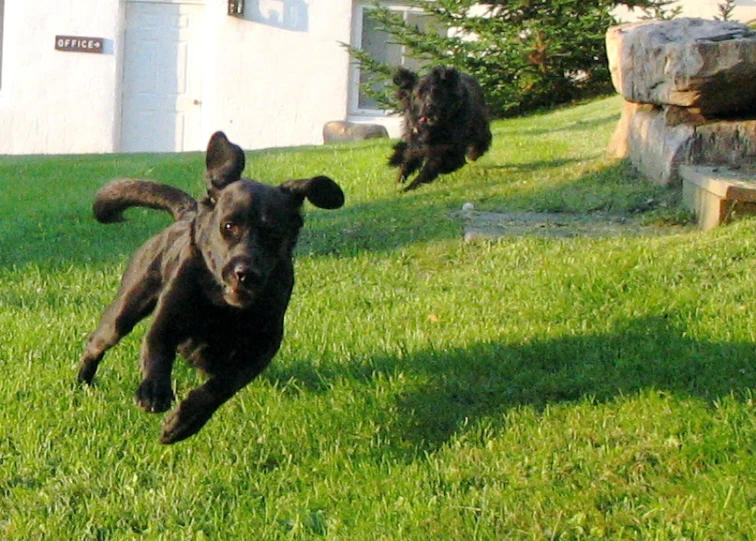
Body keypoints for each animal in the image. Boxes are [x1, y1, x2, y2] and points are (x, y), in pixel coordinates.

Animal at [77, 131, 346, 442]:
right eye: (228, 227)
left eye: (274, 233)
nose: (245, 273)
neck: (221, 304)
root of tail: (186, 214)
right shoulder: (168, 320)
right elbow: (157, 349)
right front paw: (154, 392)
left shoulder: (261, 346)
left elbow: (222, 385)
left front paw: (184, 422)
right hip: (125, 308)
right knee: (97, 344)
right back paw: (82, 381)